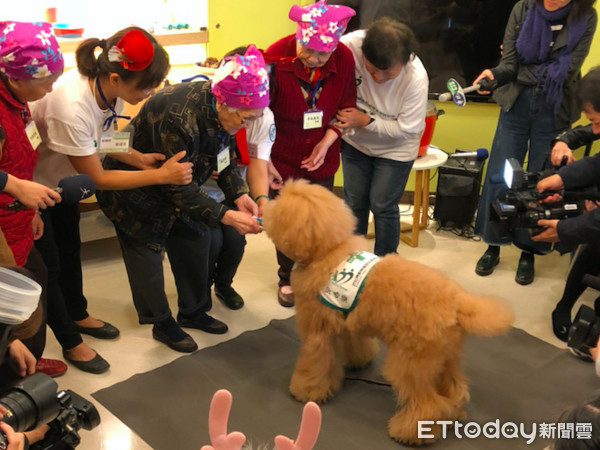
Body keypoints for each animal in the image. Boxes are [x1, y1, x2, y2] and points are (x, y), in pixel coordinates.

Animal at [264, 180, 516, 446]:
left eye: (280, 202)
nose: (266, 206)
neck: (328, 250)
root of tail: (459, 303)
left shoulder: (318, 333)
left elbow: (314, 364)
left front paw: (306, 391)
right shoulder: (349, 323)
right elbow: (355, 345)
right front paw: (357, 362)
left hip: (411, 362)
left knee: (428, 404)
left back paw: (408, 433)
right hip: (446, 359)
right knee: (454, 389)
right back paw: (454, 414)